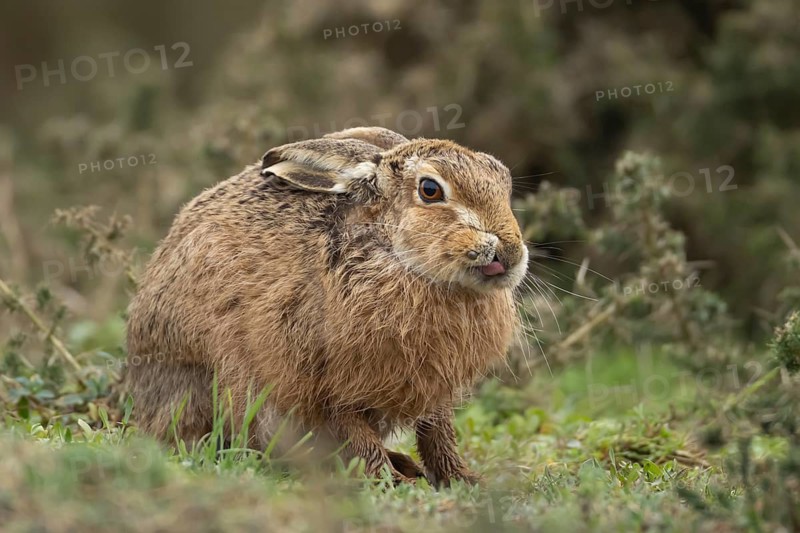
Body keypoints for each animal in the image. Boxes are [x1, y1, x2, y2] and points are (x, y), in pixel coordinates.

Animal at [125, 126, 528, 485]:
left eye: (503, 180)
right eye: (430, 190)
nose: (509, 252)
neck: (395, 256)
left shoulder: (432, 386)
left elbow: (438, 434)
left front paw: (464, 478)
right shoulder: (326, 383)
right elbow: (357, 435)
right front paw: (391, 481)